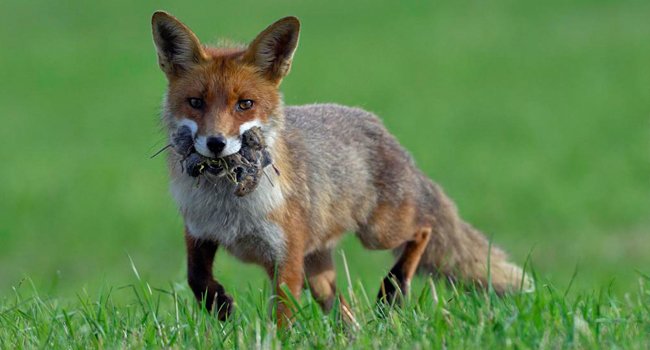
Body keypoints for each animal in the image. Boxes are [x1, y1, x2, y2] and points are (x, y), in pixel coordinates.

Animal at [149, 11, 528, 328]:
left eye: (245, 104)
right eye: (195, 103)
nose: (215, 143)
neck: (230, 206)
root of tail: (378, 125)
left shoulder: (285, 258)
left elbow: (282, 317)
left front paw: (273, 338)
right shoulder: (199, 232)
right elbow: (196, 278)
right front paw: (221, 306)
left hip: (378, 232)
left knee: (423, 229)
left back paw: (393, 289)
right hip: (318, 270)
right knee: (347, 311)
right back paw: (358, 332)